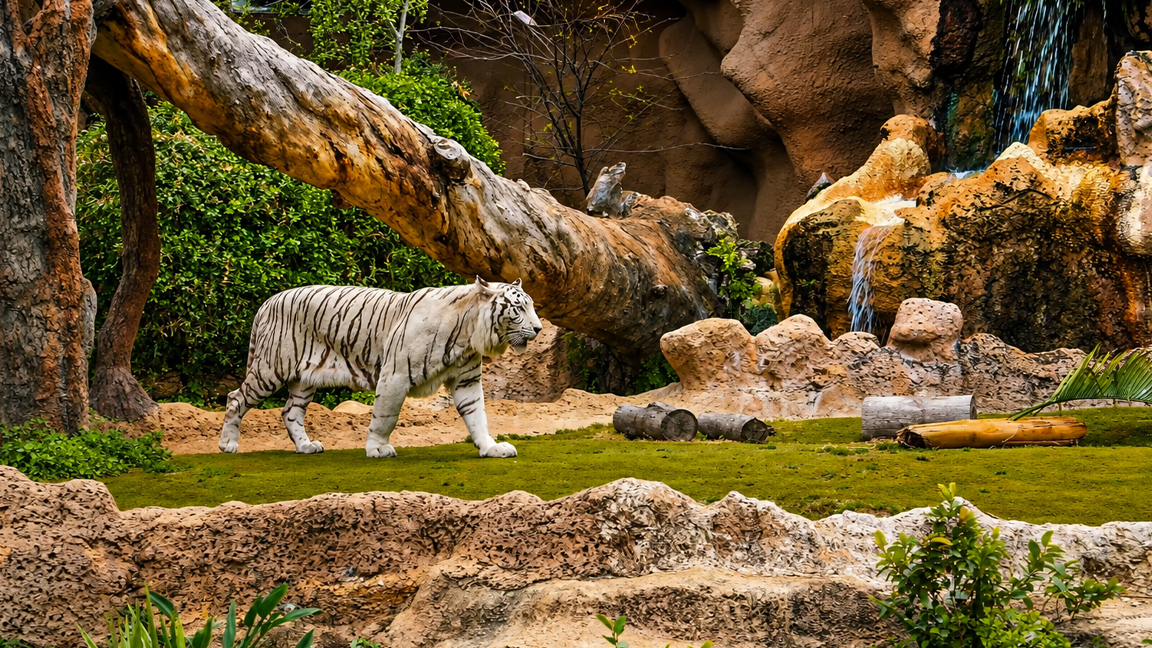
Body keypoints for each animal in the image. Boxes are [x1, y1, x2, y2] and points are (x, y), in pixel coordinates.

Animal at [217, 277, 542, 459]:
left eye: (532, 306)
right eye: (519, 308)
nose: (539, 328)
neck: (469, 334)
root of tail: (268, 301)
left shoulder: (467, 381)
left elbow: (478, 417)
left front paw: (491, 448)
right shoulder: (394, 377)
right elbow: (385, 417)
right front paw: (377, 449)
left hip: (303, 379)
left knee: (290, 412)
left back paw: (306, 447)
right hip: (271, 368)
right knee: (235, 398)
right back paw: (228, 445)